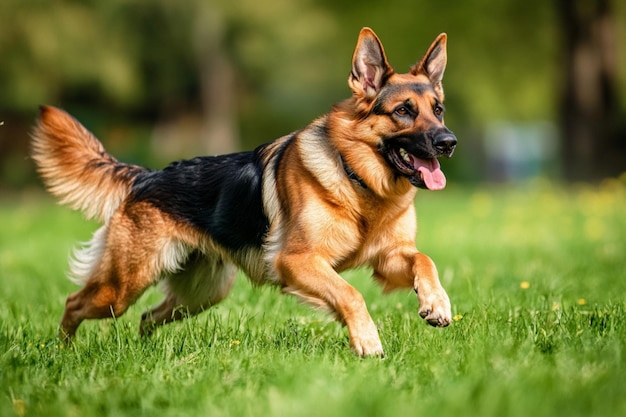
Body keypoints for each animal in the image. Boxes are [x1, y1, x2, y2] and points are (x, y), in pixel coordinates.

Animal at [31, 28, 456, 354]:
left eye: (438, 109)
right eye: (403, 111)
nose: (448, 142)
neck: (357, 179)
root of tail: (146, 176)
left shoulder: (389, 259)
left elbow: (425, 260)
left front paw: (437, 303)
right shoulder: (297, 262)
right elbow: (350, 294)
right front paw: (367, 341)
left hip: (202, 294)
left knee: (147, 317)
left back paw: (143, 351)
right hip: (123, 287)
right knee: (75, 302)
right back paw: (63, 351)